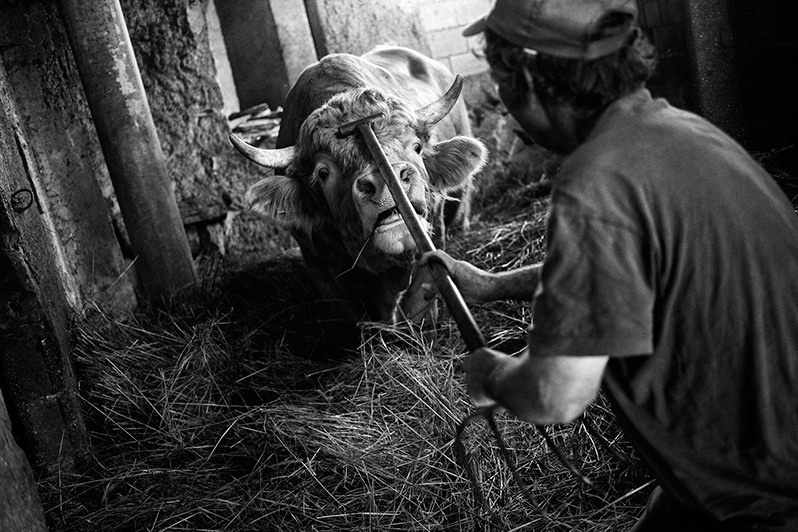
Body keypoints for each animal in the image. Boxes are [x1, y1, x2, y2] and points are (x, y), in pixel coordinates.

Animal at [230, 46, 487, 323]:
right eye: (323, 172)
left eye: (417, 147)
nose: (387, 180)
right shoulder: (318, 265)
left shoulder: (434, 231)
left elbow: (420, 300)